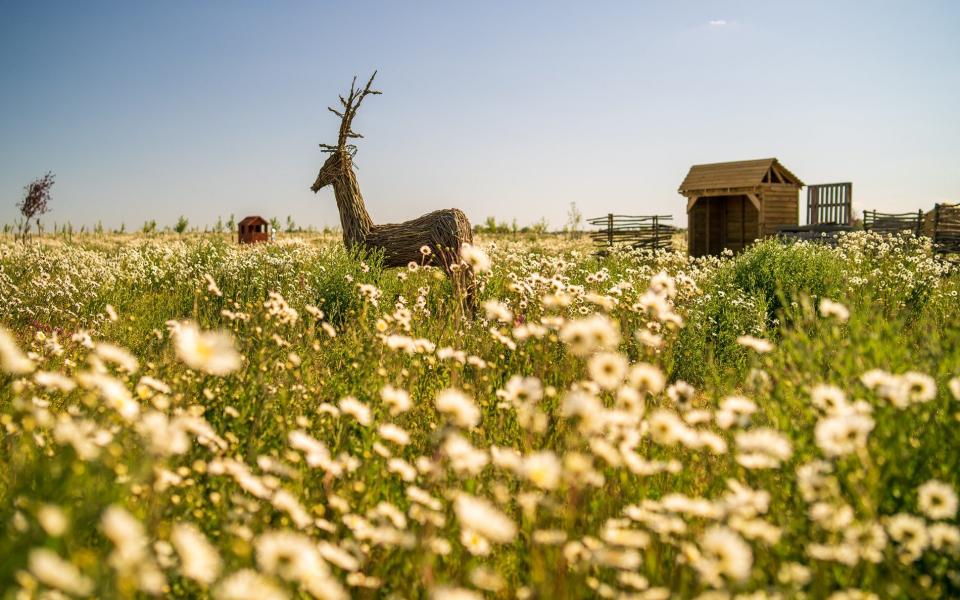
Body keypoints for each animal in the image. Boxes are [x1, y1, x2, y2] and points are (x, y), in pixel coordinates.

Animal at [312, 71, 476, 310]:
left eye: (329, 163)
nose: (314, 185)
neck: (364, 227)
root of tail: (463, 220)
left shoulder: (368, 261)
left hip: (450, 257)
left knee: (462, 291)